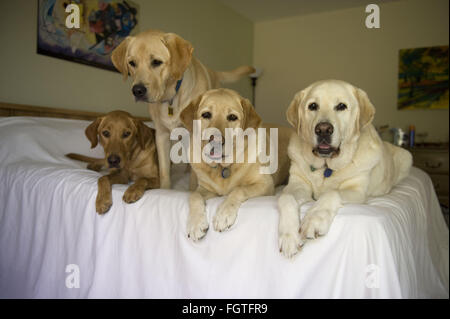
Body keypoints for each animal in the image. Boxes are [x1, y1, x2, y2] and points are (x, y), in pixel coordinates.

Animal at [111, 28, 255, 190]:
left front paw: (192, 189)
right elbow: (164, 170)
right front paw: (165, 190)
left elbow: (194, 174)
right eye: (132, 63)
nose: (137, 91)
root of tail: (213, 71)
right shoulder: (161, 135)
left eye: (156, 62)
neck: (171, 98)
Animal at [181, 89, 294, 241]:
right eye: (206, 115)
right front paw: (195, 223)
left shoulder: (265, 184)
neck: (224, 167)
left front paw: (223, 214)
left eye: (232, 117)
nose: (216, 140)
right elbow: (193, 196)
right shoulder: (204, 188)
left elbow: (238, 190)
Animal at [280, 80, 414, 258]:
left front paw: (314, 219)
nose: (323, 129)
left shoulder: (357, 191)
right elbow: (285, 198)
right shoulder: (297, 183)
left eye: (341, 106)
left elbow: (332, 193)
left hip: (407, 158)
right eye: (313, 106)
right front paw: (288, 236)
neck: (326, 168)